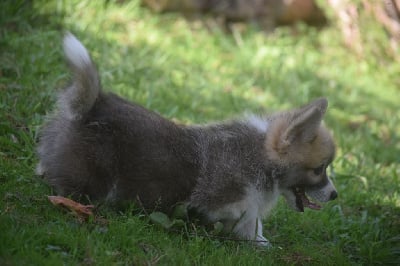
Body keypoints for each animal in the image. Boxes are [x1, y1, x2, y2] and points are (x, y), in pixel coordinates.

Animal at [36, 33, 338, 247]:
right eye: (318, 170)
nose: (335, 195)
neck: (262, 158)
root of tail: (95, 104)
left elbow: (254, 224)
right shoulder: (229, 203)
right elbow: (248, 222)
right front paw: (259, 244)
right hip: (92, 178)